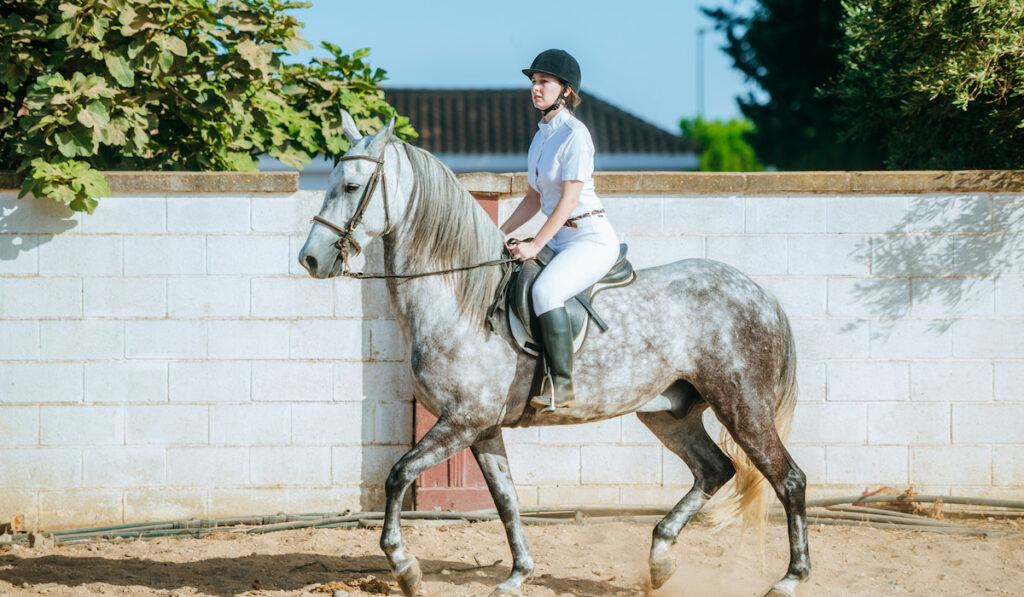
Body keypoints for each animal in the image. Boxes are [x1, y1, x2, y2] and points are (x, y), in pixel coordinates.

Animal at [296, 113, 806, 597]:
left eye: (352, 187)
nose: (311, 259)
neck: (459, 297)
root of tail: (759, 294)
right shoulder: (482, 428)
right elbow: (506, 501)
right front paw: (517, 575)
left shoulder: (461, 421)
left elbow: (398, 474)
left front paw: (405, 568)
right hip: (668, 413)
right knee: (714, 469)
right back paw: (661, 559)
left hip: (743, 405)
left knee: (788, 478)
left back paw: (789, 578)